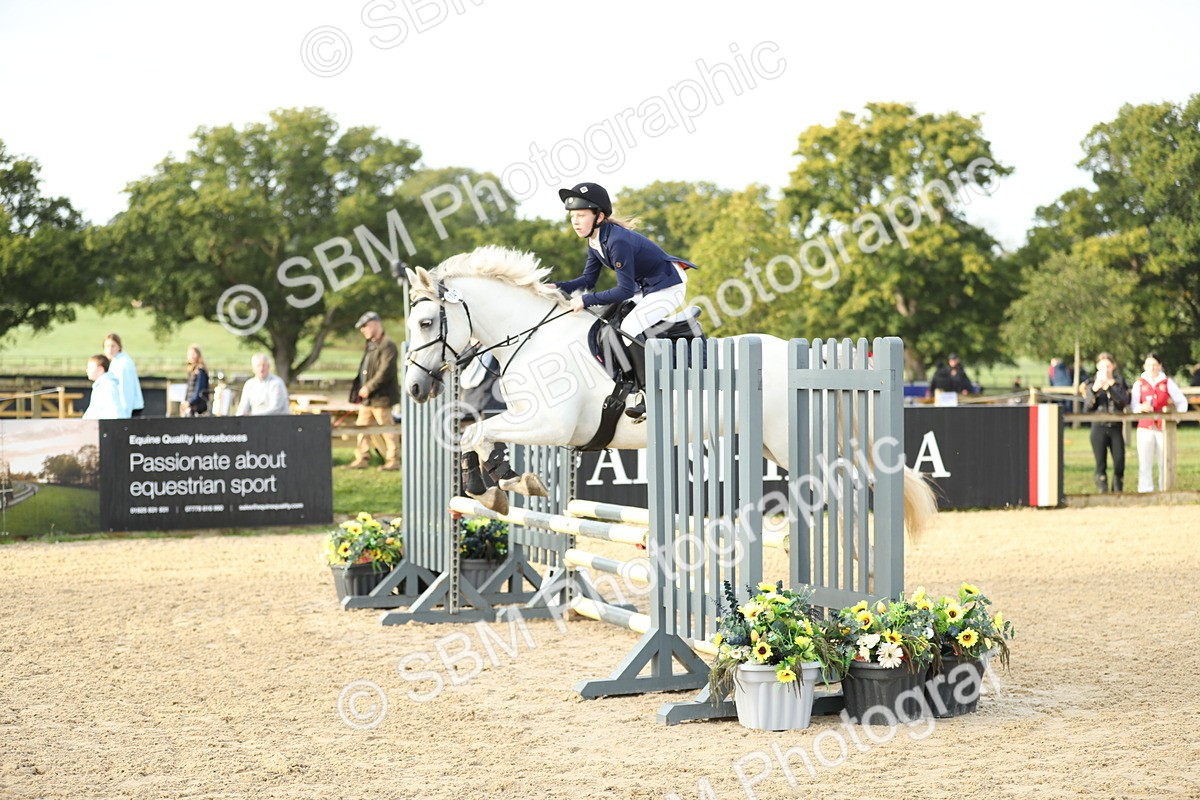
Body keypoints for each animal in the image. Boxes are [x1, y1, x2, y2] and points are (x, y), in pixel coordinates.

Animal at [403, 246, 937, 537]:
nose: (413, 388)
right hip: (775, 444)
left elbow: (477, 433)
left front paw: (499, 486)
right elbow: (477, 434)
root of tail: (812, 359)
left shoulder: (552, 425)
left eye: (427, 322)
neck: (534, 338)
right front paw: (499, 483)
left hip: (794, 443)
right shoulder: (531, 422)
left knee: (841, 488)